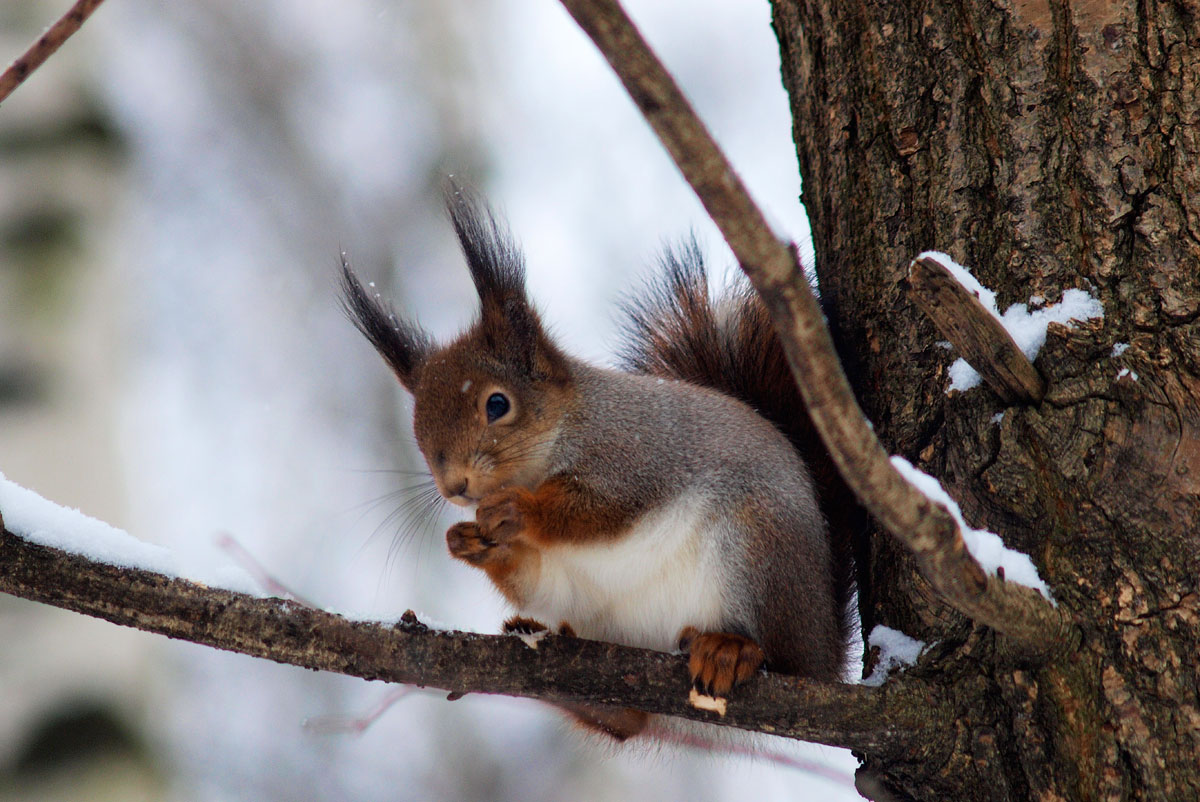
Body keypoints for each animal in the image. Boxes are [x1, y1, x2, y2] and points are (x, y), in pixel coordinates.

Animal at [343, 186, 859, 739]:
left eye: (497, 404)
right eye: (418, 424)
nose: (454, 485)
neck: (556, 442)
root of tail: (828, 645)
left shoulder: (633, 457)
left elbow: (600, 510)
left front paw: (519, 511)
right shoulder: (560, 568)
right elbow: (535, 578)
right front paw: (470, 542)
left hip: (758, 545)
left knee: (780, 657)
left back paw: (732, 648)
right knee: (626, 718)